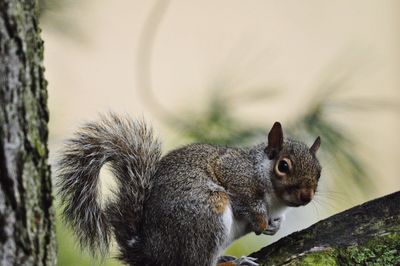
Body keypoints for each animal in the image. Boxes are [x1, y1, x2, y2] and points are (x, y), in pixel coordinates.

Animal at [57, 112, 322, 266]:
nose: (306, 196)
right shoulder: (233, 171)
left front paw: (274, 226)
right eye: (283, 166)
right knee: (196, 262)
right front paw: (260, 221)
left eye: (319, 171)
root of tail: (152, 253)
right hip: (207, 215)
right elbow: (245, 197)